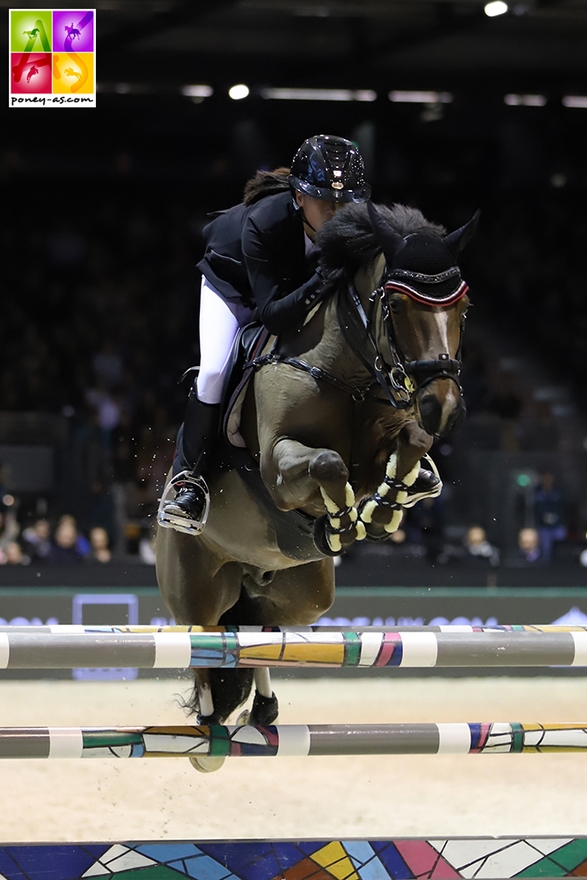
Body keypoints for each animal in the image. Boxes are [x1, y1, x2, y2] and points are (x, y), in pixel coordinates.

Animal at [156, 198, 478, 764]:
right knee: (205, 639)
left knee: (256, 633)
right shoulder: (278, 464)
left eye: (462, 309)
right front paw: (344, 522)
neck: (348, 371)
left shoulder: (390, 434)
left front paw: (385, 506)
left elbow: (411, 444)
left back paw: (262, 710)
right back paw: (208, 724)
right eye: (396, 308)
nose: (445, 406)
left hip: (301, 594)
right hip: (196, 585)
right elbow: (328, 464)